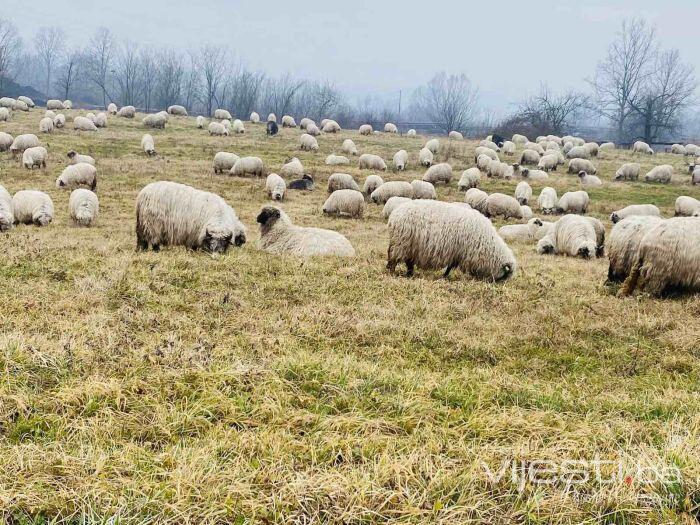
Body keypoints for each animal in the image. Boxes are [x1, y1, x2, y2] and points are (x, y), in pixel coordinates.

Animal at [386, 199, 516, 280]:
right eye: (504, 275)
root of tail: (395, 213)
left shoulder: (457, 253)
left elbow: (450, 266)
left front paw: (445, 276)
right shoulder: (463, 253)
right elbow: (451, 267)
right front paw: (445, 276)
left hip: (410, 246)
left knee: (408, 261)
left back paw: (410, 274)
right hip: (401, 243)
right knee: (393, 259)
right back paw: (393, 273)